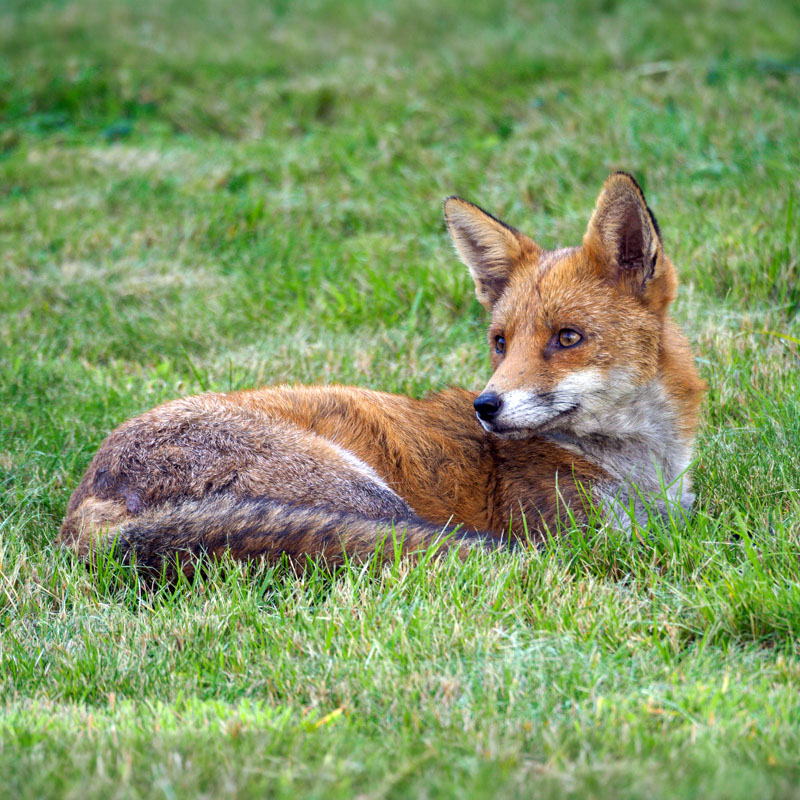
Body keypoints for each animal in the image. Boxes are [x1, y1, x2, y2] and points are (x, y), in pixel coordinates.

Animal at [58, 173, 705, 574]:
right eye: (500, 343)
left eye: (567, 338)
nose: (486, 406)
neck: (643, 475)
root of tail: (86, 509)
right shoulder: (584, 531)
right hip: (368, 496)